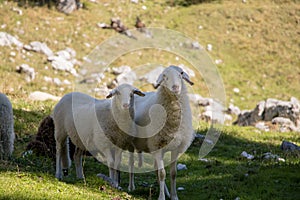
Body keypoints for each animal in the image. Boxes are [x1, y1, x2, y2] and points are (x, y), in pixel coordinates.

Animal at [133, 65, 195, 200]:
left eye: (181, 73)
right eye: (165, 76)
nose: (175, 87)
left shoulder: (176, 147)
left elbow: (173, 173)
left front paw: (174, 196)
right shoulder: (157, 146)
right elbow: (162, 173)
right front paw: (161, 197)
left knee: (156, 169)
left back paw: (166, 192)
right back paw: (130, 186)